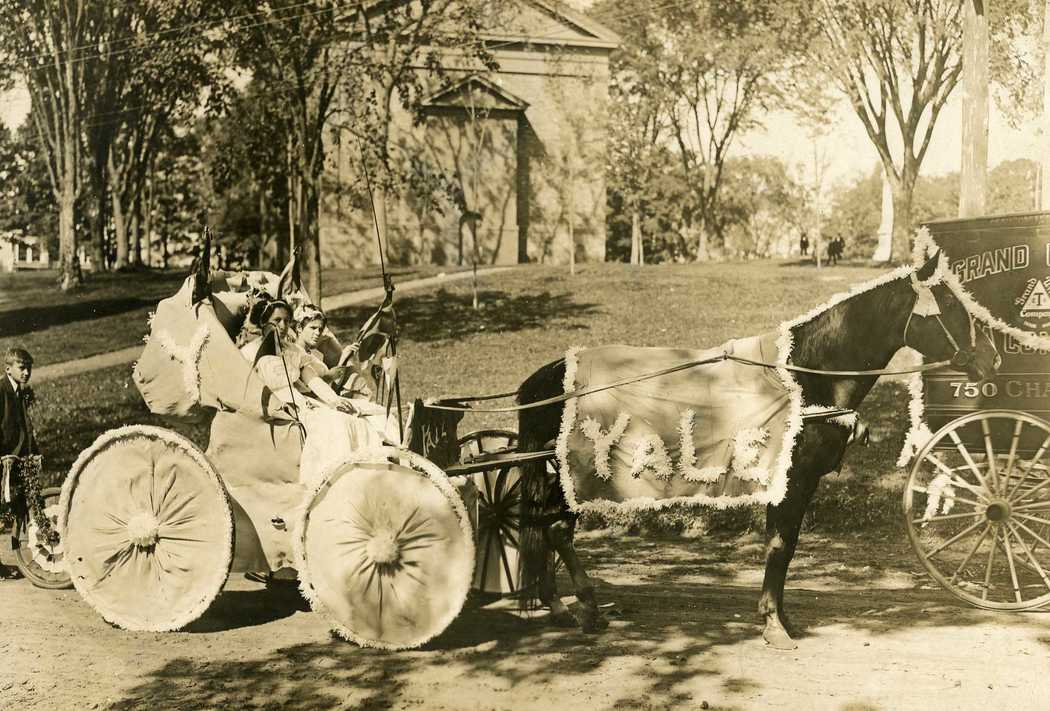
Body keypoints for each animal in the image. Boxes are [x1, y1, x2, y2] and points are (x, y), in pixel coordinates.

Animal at [516, 249, 999, 646]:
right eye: (951, 306)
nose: (991, 358)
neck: (805, 376)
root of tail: (548, 376)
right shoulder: (794, 480)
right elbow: (781, 545)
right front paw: (772, 624)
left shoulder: (790, 481)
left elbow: (782, 545)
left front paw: (780, 617)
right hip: (574, 476)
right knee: (557, 530)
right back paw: (586, 606)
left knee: (545, 528)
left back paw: (559, 605)